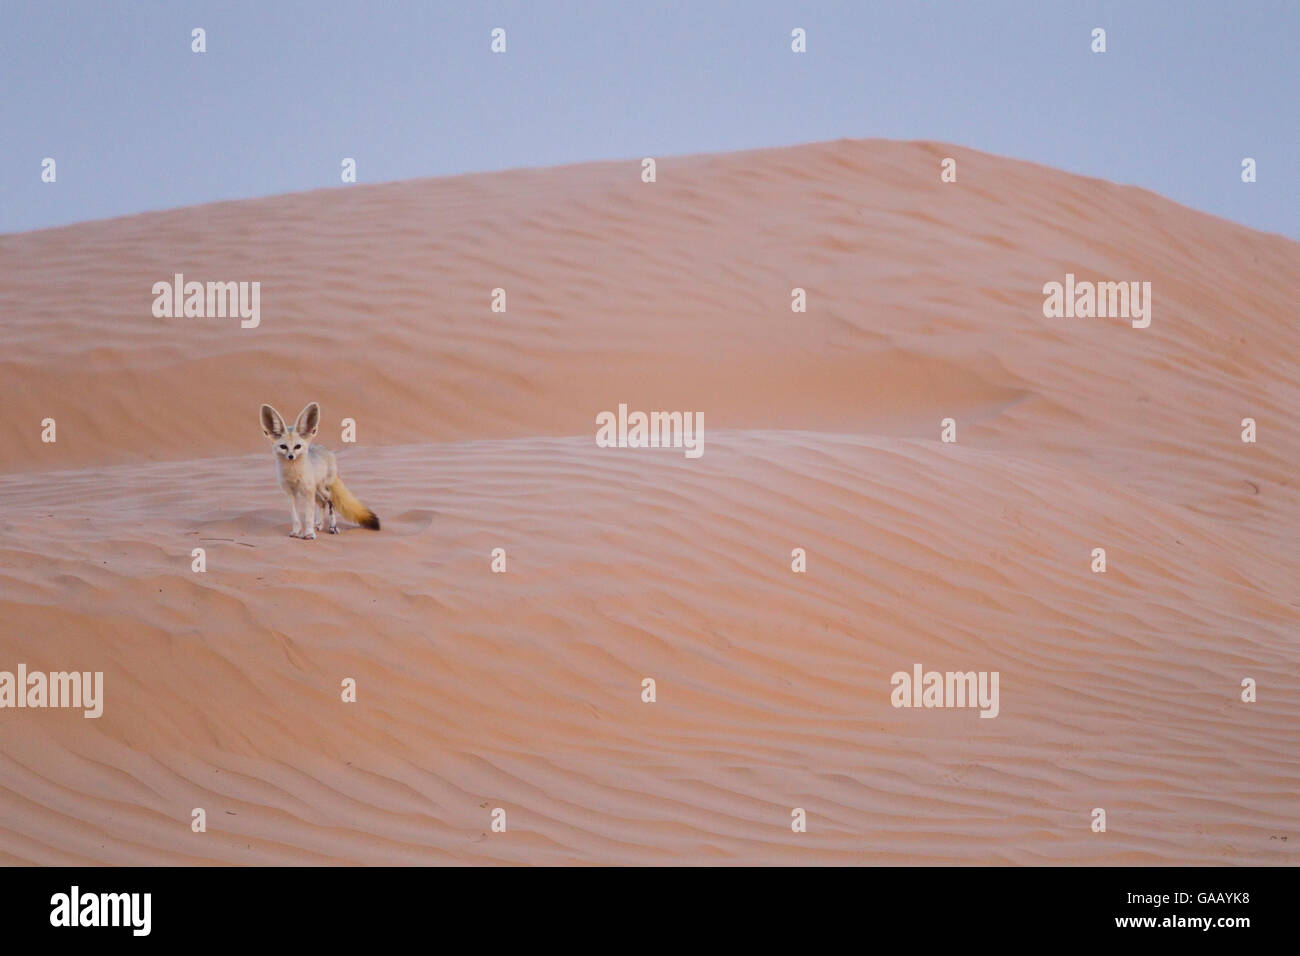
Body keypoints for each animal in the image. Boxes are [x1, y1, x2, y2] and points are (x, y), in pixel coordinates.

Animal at [260, 402, 380, 539]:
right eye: (283, 447)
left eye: (297, 446)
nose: (291, 456)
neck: (293, 473)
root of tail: (327, 451)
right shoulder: (290, 493)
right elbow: (295, 517)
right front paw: (296, 532)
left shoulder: (308, 492)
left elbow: (308, 517)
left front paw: (309, 534)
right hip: (315, 492)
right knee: (322, 503)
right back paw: (319, 525)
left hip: (321, 490)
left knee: (330, 502)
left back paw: (332, 527)